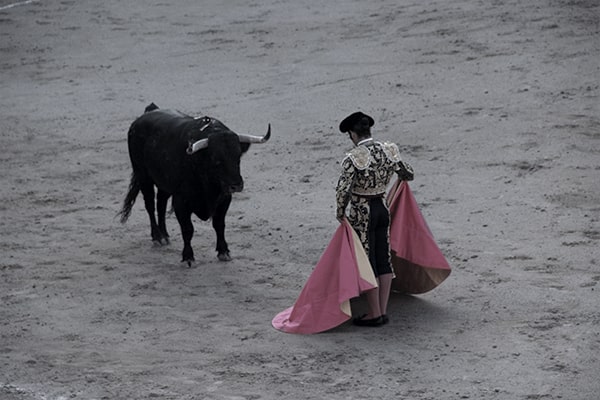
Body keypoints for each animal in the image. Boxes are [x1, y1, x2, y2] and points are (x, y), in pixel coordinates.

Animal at [119, 103, 270, 265]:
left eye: (238, 157)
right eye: (216, 160)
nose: (236, 185)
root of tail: (146, 114)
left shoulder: (224, 198)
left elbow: (219, 225)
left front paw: (223, 251)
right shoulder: (180, 201)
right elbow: (187, 229)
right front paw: (188, 257)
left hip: (164, 182)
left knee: (161, 203)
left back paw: (165, 235)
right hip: (143, 176)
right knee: (150, 205)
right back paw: (157, 237)